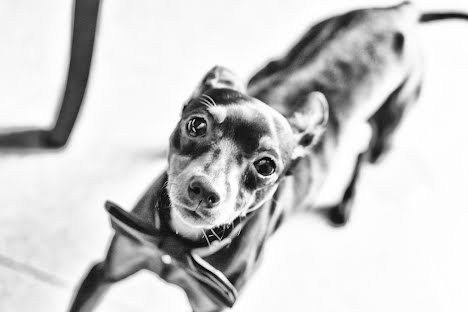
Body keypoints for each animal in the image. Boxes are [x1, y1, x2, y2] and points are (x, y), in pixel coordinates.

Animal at [67, 3, 466, 312]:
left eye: (266, 166)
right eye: (196, 125)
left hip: (390, 127)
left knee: (365, 153)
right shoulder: (104, 271)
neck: (178, 244)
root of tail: (401, 11)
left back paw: (346, 205)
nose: (204, 190)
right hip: (278, 59)